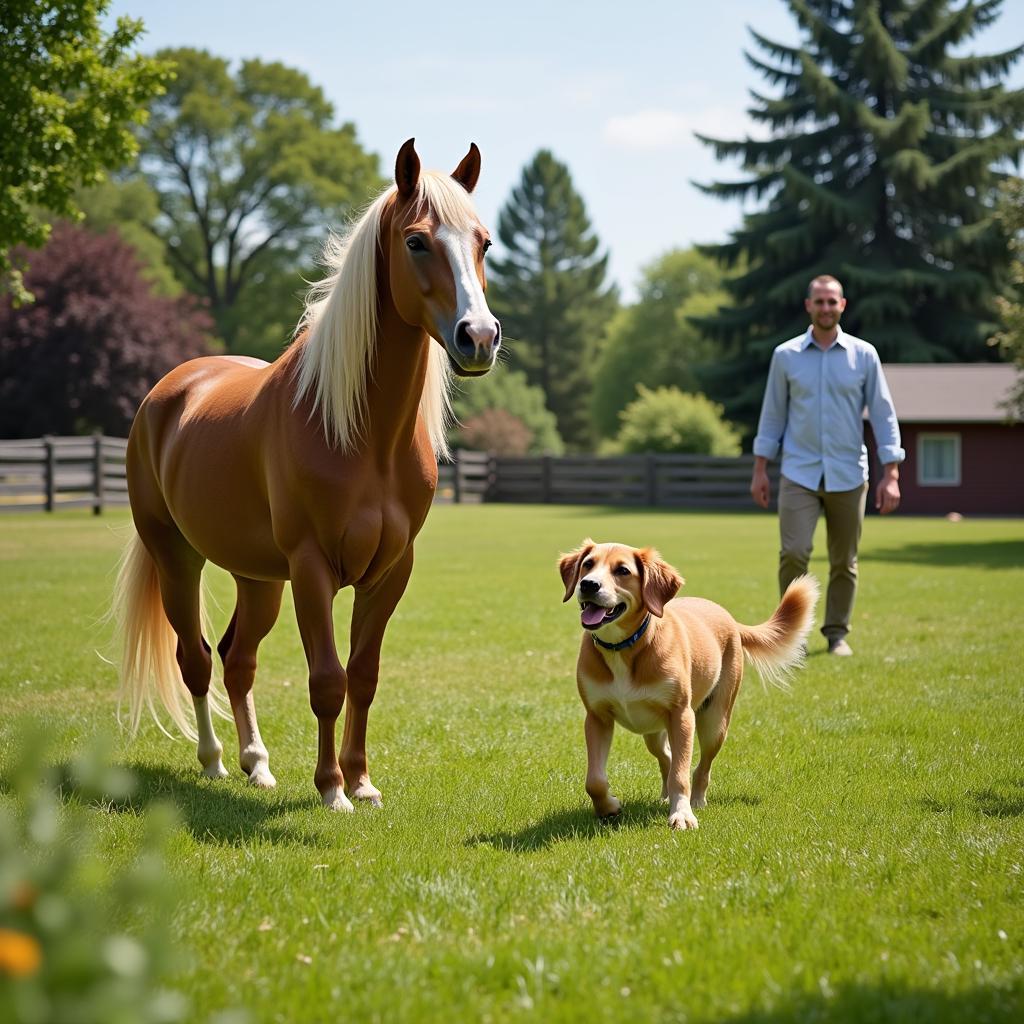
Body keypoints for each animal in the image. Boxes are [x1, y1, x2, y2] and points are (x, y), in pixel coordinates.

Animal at [116, 140, 499, 806]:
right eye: (417, 241)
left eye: (484, 241)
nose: (478, 337)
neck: (364, 436)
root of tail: (170, 390)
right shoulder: (312, 568)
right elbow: (326, 678)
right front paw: (331, 789)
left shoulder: (390, 570)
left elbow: (363, 676)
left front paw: (363, 782)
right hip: (176, 557)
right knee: (196, 658)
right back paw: (215, 761)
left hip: (257, 577)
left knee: (237, 658)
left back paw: (257, 763)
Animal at [561, 540, 815, 827]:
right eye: (587, 564)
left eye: (622, 570)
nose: (588, 585)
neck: (622, 648)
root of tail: (729, 618)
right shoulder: (597, 716)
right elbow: (594, 780)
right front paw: (608, 807)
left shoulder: (681, 715)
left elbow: (680, 774)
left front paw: (682, 813)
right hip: (653, 730)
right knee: (667, 757)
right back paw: (665, 795)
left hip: (714, 721)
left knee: (701, 766)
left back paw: (697, 799)